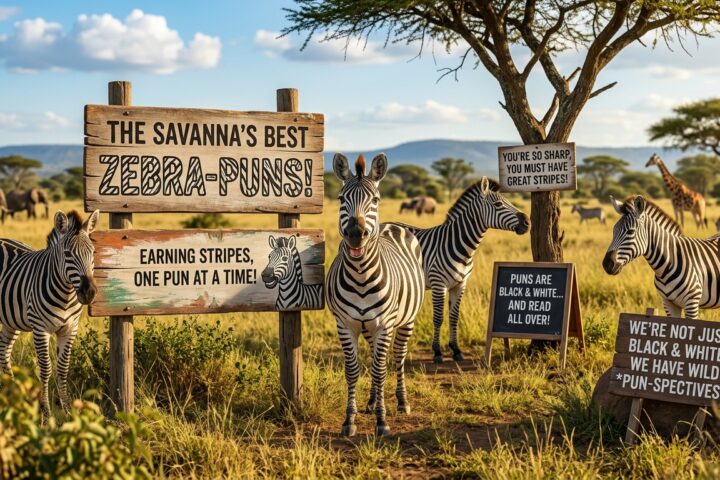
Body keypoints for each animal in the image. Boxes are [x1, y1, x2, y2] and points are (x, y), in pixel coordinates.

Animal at [0, 209, 99, 420]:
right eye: (68, 254)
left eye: (93, 252)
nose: (89, 292)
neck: (66, 295)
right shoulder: (40, 329)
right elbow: (45, 368)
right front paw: (46, 412)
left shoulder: (70, 329)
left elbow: (63, 368)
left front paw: (67, 410)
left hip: (11, 320)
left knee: (4, 352)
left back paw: (11, 394)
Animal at [326, 152, 425, 437]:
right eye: (341, 199)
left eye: (375, 200)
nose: (355, 235)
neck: (360, 275)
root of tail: (392, 225)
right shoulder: (344, 324)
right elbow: (353, 370)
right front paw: (350, 419)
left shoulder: (385, 324)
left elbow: (380, 370)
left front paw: (382, 421)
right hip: (368, 326)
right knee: (373, 357)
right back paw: (371, 401)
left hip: (405, 320)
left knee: (398, 357)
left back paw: (401, 402)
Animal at [392, 178, 529, 363]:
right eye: (499, 204)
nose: (527, 222)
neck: (459, 245)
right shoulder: (439, 284)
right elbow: (438, 318)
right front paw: (437, 352)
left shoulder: (460, 284)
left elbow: (454, 317)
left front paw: (456, 350)